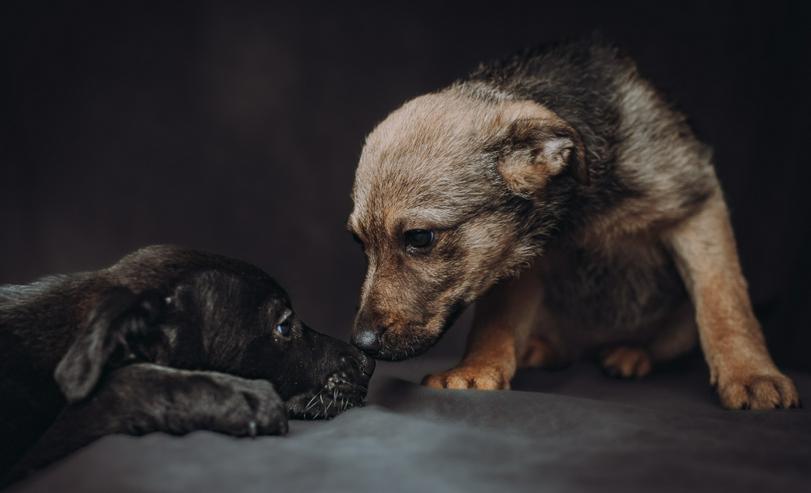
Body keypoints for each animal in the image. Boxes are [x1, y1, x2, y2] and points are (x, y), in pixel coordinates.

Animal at [348, 40, 800, 410]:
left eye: (420, 238)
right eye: (359, 243)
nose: (361, 344)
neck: (577, 209)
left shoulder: (696, 205)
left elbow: (724, 301)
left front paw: (751, 373)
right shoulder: (519, 254)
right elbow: (498, 319)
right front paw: (478, 368)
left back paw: (631, 353)